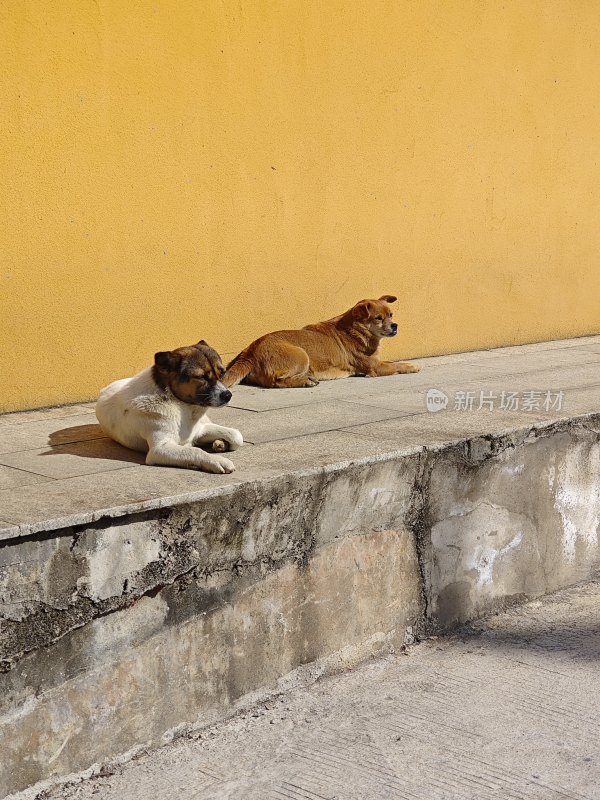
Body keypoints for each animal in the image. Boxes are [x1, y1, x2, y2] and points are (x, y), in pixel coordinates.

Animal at [96, 340, 241, 476]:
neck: (182, 408)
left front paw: (221, 444)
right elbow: (193, 450)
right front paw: (217, 461)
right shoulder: (160, 449)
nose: (228, 395)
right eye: (201, 377)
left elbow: (236, 435)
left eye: (222, 373)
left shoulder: (200, 429)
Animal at [223, 296, 420, 390]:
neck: (357, 330)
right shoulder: (375, 368)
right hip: (301, 355)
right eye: (379, 318)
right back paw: (306, 382)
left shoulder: (377, 362)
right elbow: (396, 366)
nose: (395, 326)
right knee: (276, 381)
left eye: (391, 315)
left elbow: (392, 362)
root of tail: (250, 350)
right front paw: (412, 366)